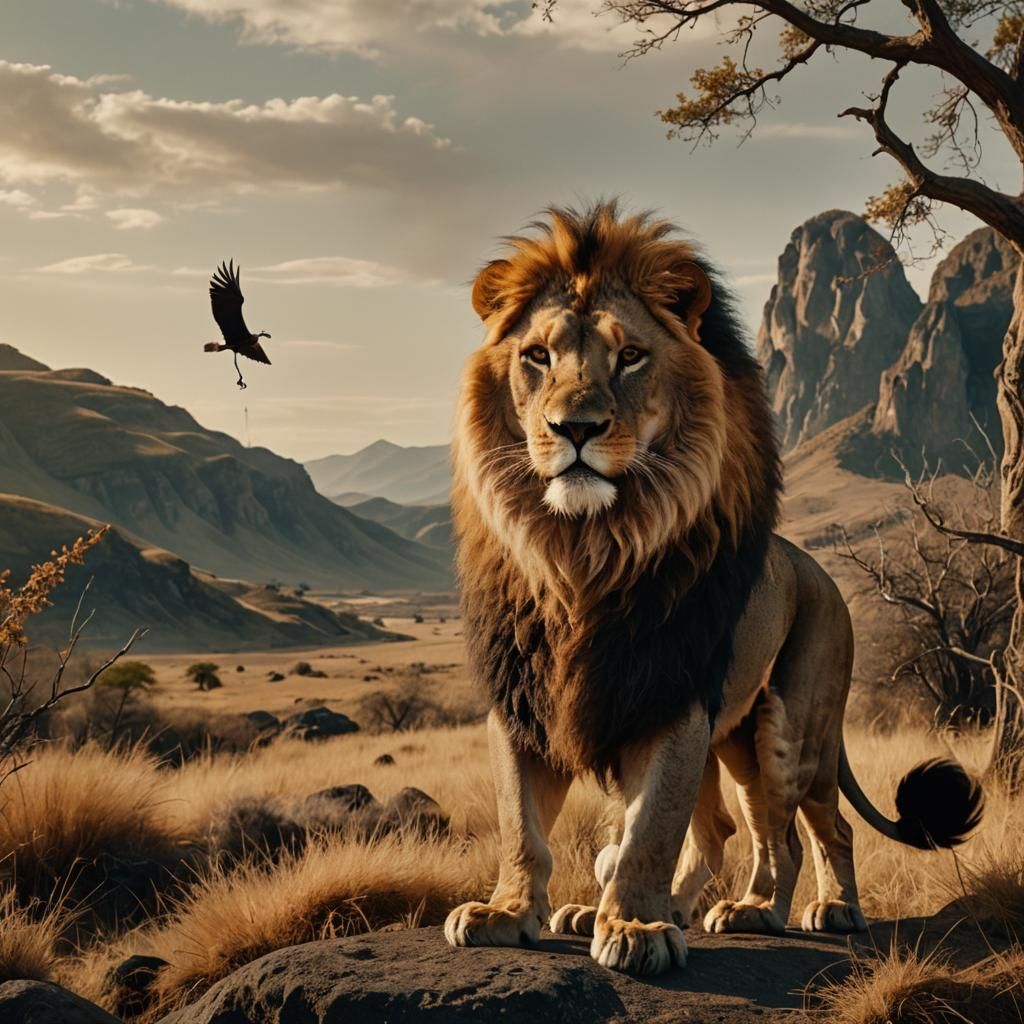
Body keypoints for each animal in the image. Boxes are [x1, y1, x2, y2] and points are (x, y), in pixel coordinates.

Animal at [443, 201, 983, 977]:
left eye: (630, 357)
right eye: (537, 357)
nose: (574, 428)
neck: (581, 552)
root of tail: (819, 572)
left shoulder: (673, 698)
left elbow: (648, 833)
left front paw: (633, 927)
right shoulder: (526, 702)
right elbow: (524, 825)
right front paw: (508, 913)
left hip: (792, 729)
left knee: (804, 832)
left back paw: (792, 910)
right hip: (734, 740)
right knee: (732, 827)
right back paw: (651, 908)